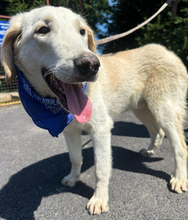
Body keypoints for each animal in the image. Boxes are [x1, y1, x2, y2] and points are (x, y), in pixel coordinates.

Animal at [1, 5, 188, 215]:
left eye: (82, 31)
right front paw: (73, 178)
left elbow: (101, 169)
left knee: (180, 146)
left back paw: (179, 179)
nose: (91, 65)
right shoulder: (70, 131)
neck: (57, 107)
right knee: (157, 132)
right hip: (142, 109)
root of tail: (170, 52)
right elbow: (75, 158)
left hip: (164, 110)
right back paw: (149, 151)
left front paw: (99, 199)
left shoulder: (101, 129)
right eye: (43, 30)